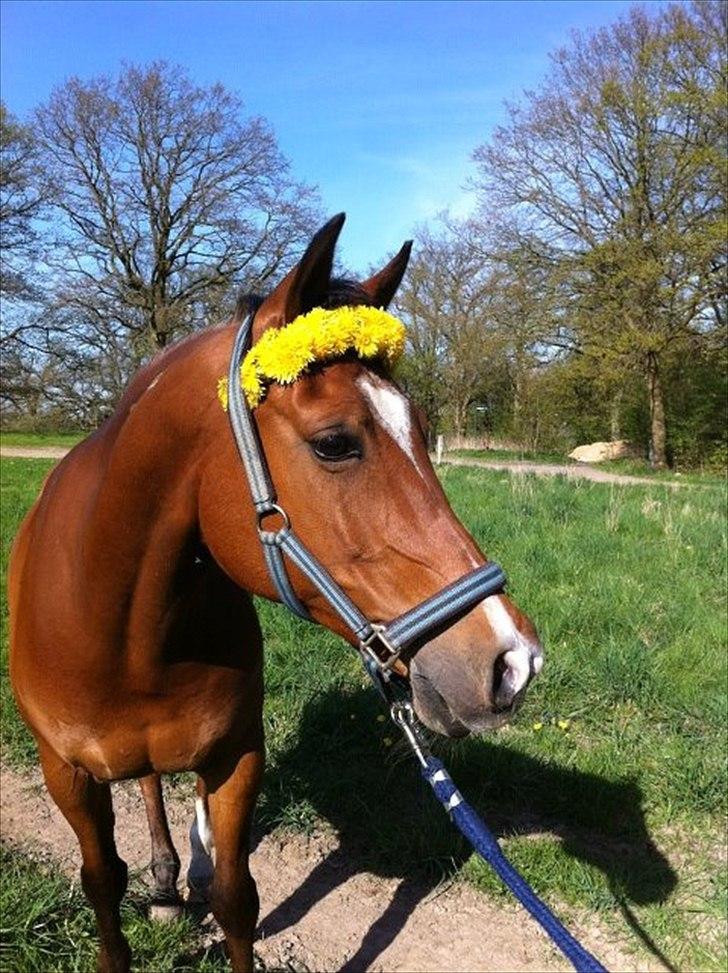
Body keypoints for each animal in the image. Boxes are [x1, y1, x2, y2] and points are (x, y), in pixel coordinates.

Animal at [8, 214, 543, 973]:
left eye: (422, 430)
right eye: (334, 443)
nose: (512, 661)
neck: (118, 622)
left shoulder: (237, 758)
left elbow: (236, 895)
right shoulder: (67, 776)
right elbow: (102, 884)